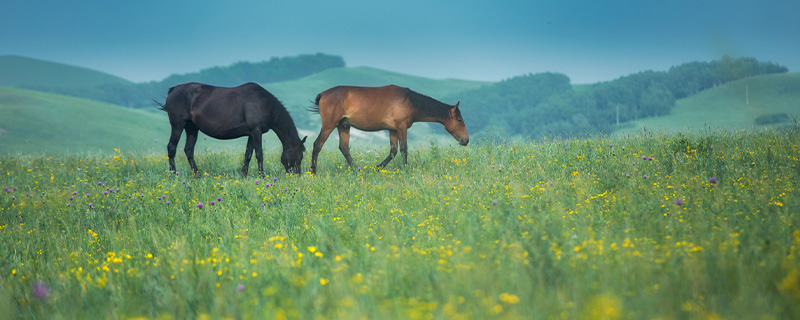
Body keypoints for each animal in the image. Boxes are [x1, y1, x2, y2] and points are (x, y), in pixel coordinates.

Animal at [157, 81, 306, 174]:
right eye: (299, 156)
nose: (297, 176)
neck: (265, 104)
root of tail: (173, 90)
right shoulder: (256, 132)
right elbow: (259, 154)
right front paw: (262, 176)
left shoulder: (251, 134)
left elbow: (248, 154)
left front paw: (244, 175)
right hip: (178, 126)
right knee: (171, 148)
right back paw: (174, 174)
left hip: (192, 128)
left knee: (188, 150)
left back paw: (197, 175)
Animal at [308, 85, 468, 172]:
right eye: (459, 120)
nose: (466, 140)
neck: (409, 101)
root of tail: (323, 94)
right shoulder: (401, 128)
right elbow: (404, 149)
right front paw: (405, 169)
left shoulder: (393, 130)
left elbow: (393, 151)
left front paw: (377, 168)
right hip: (329, 125)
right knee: (317, 145)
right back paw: (313, 171)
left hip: (343, 126)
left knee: (344, 148)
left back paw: (357, 169)